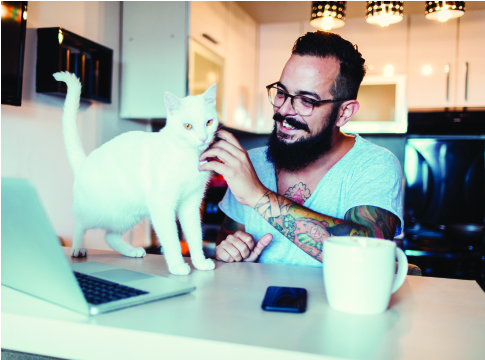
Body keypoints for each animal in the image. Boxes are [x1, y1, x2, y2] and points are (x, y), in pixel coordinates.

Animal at [53, 72, 217, 276]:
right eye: (188, 126)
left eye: (208, 122)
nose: (203, 138)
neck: (188, 156)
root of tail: (84, 161)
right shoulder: (162, 204)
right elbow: (171, 239)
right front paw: (177, 266)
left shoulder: (190, 204)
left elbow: (195, 236)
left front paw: (200, 263)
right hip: (96, 212)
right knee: (79, 223)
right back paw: (78, 248)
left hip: (129, 213)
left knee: (109, 236)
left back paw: (132, 251)